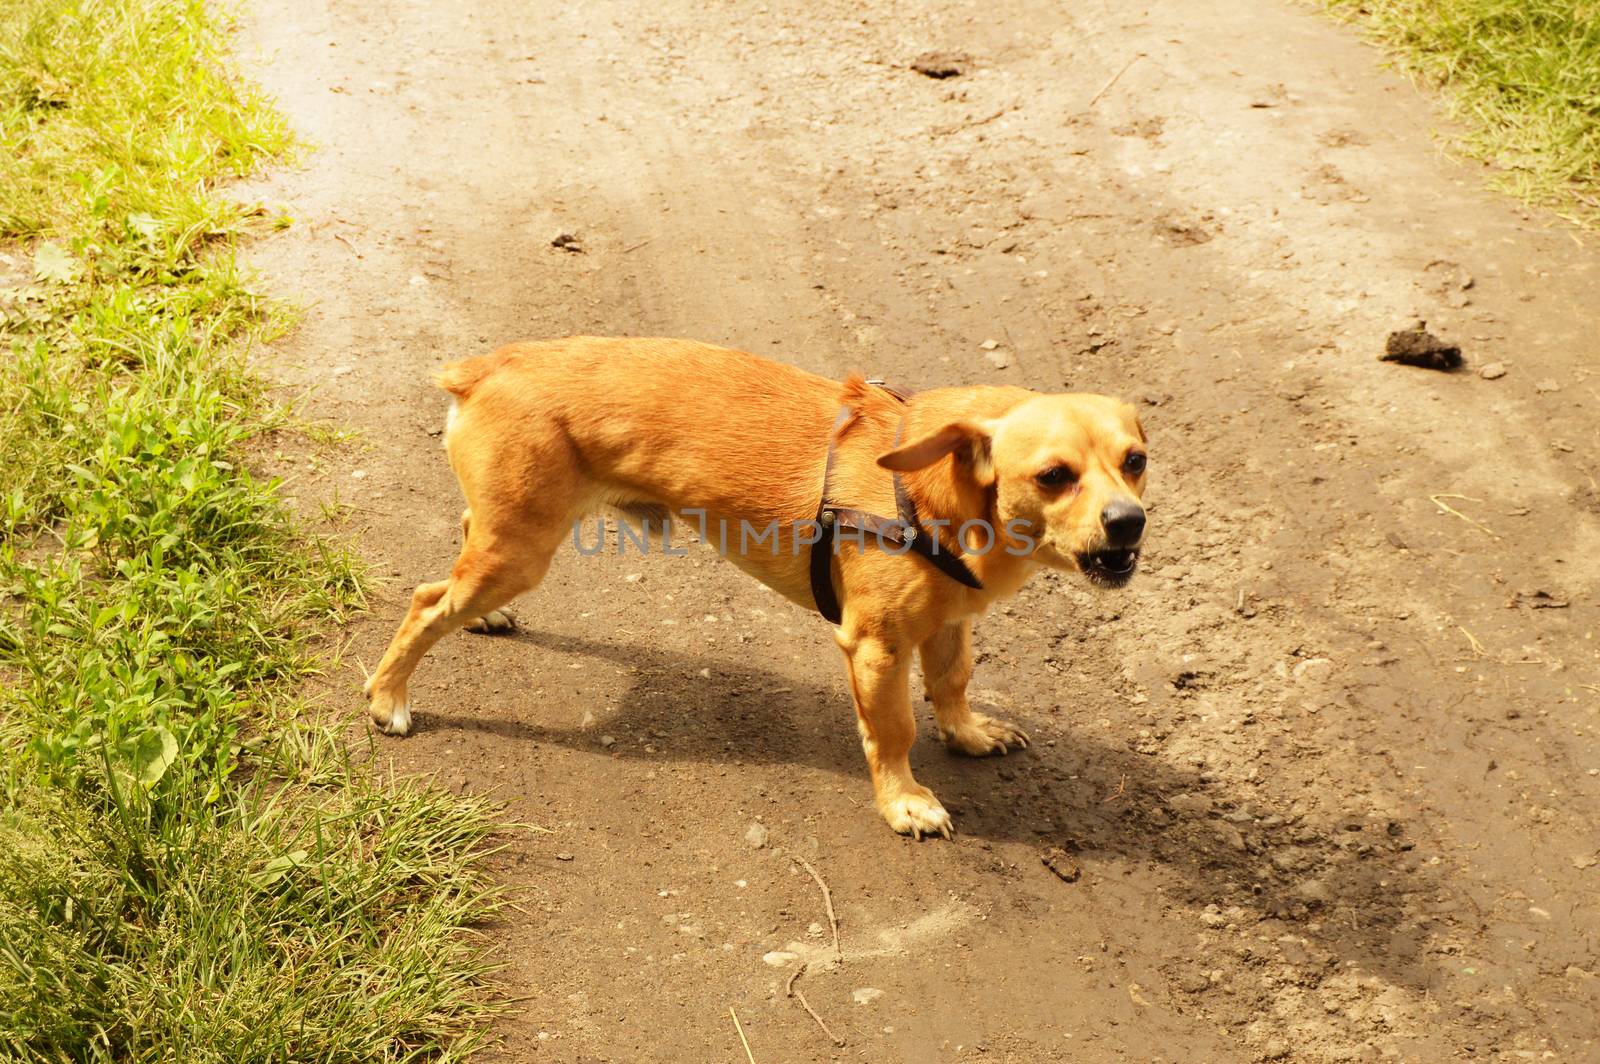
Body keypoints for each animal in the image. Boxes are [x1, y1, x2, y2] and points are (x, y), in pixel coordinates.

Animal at [366, 337, 1152, 838]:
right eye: (1053, 475)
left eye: (1137, 460)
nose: (1129, 523)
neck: (939, 489)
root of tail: (485, 367)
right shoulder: (876, 647)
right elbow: (893, 729)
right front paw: (903, 802)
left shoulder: (952, 621)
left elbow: (953, 681)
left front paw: (968, 732)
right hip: (521, 551)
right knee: (426, 602)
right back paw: (387, 697)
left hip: (510, 536)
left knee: (462, 544)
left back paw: (483, 620)